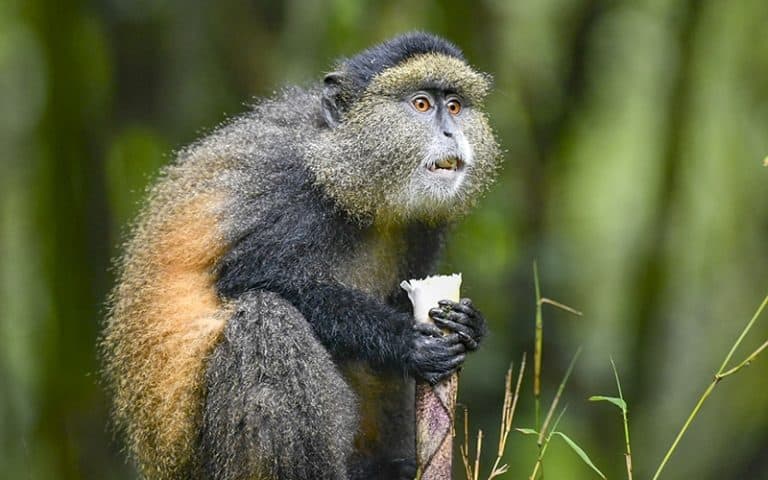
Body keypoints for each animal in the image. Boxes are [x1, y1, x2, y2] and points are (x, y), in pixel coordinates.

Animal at [100, 32, 501, 480]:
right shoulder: (290, 191)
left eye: (455, 106)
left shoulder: (423, 228)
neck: (344, 169)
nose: (451, 132)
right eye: (421, 104)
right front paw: (405, 341)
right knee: (265, 319)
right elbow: (247, 278)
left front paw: (470, 323)